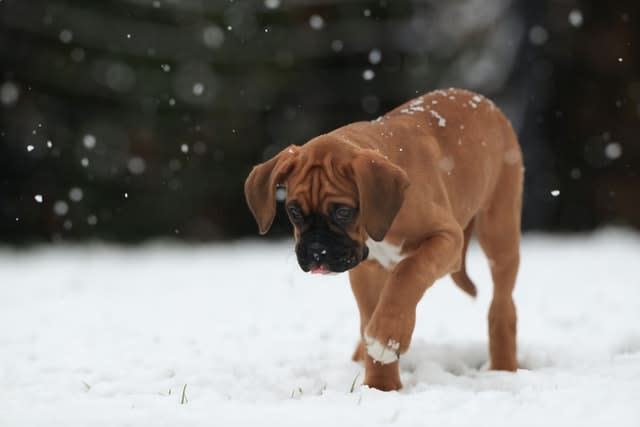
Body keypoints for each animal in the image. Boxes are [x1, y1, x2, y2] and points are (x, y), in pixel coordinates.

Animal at [242, 88, 524, 392]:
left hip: (499, 232)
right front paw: (381, 386)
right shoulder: (367, 270)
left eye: (343, 212)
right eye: (294, 212)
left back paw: (503, 367)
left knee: (502, 306)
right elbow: (372, 312)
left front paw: (388, 339)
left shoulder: (447, 238)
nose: (317, 252)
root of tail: (480, 99)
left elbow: (408, 274)